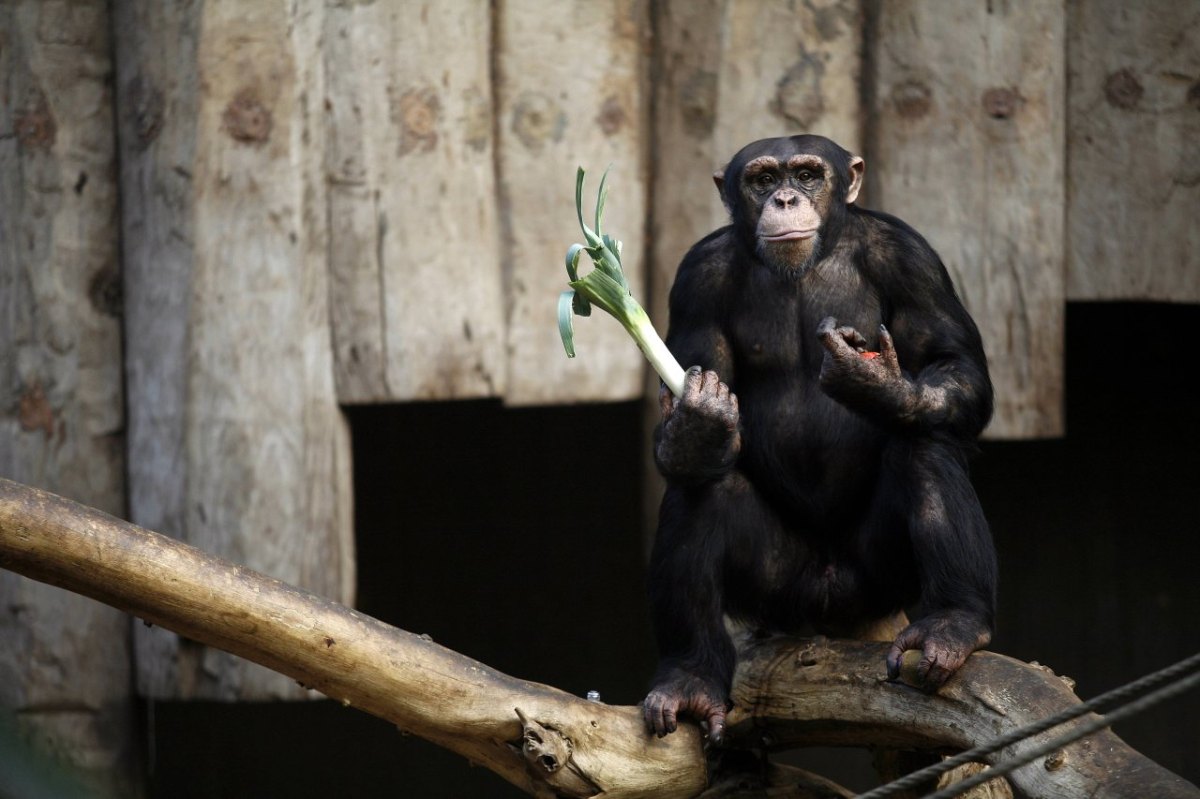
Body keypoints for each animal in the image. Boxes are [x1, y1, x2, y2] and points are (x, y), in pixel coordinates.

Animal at [643, 133, 998, 739]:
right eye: (763, 179)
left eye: (808, 175)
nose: (785, 198)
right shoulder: (696, 279)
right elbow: (694, 396)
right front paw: (695, 428)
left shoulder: (912, 258)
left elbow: (954, 362)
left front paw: (877, 383)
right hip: (777, 589)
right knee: (702, 487)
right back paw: (689, 677)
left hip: (878, 577)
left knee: (925, 441)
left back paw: (953, 623)